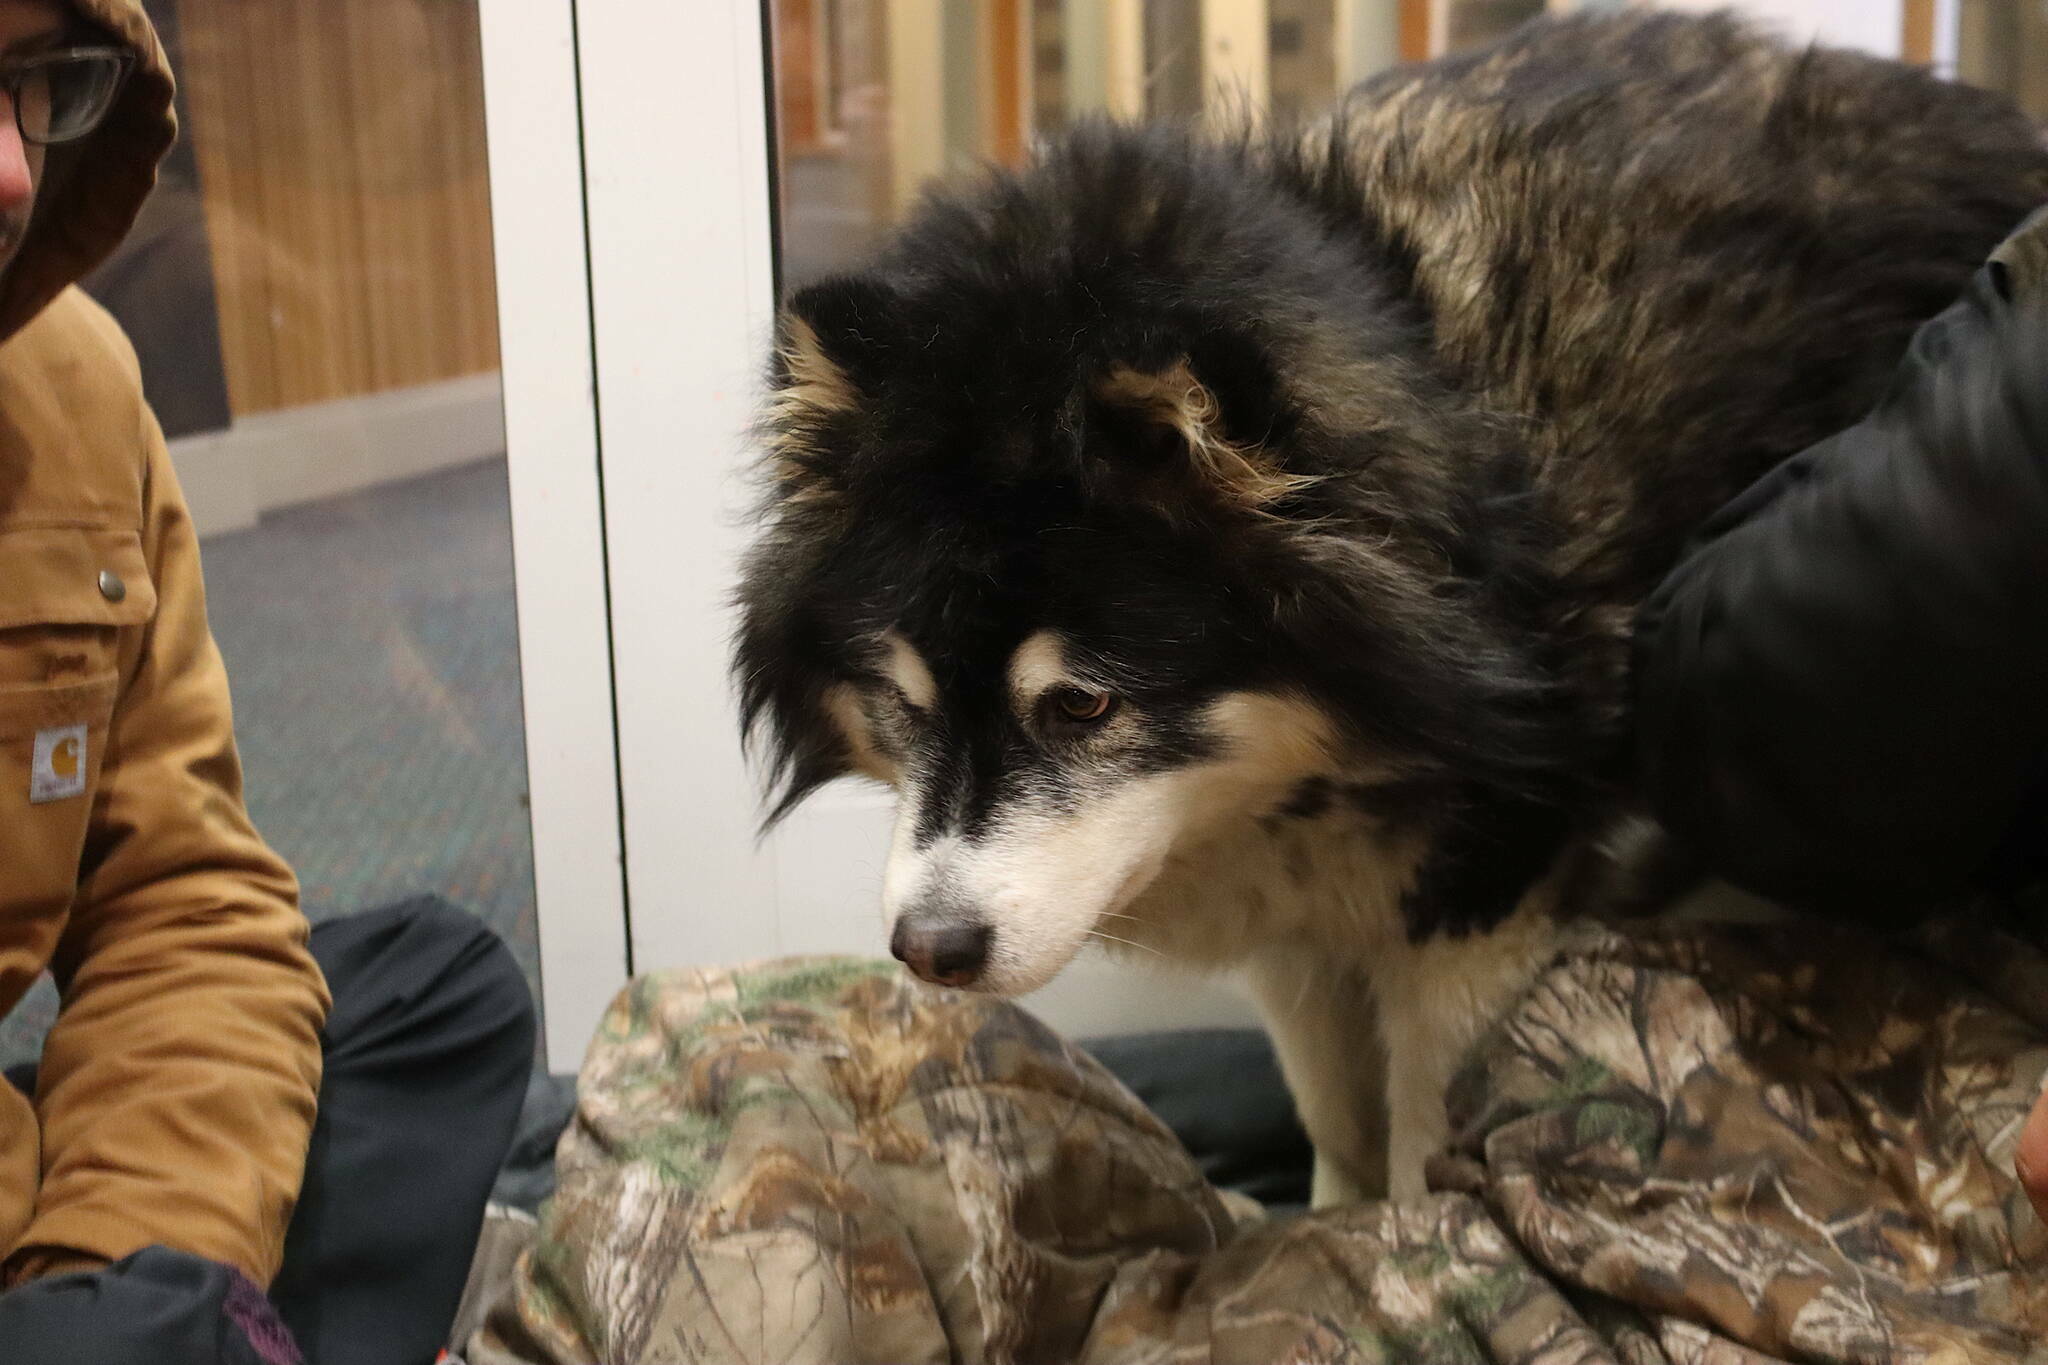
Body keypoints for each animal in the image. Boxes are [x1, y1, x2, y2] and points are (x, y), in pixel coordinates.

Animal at [737, 13, 2048, 1203]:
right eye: (897, 699)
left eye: (1081, 705)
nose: (929, 953)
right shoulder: (1292, 911)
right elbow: (1337, 1119)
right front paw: (1326, 1226)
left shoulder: (1483, 894)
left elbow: (1423, 1136)